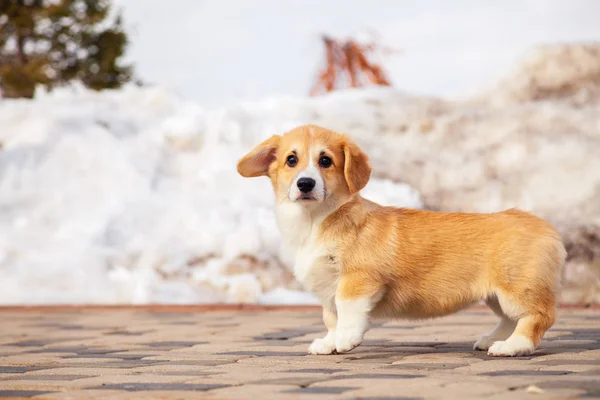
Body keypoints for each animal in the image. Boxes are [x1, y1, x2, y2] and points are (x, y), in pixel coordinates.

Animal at [237, 124, 564, 356]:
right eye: (291, 160)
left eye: (325, 161)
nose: (305, 183)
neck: (315, 220)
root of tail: (545, 227)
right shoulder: (328, 288)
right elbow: (331, 317)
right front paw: (328, 342)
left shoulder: (357, 280)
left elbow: (347, 312)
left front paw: (345, 340)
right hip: (495, 295)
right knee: (511, 318)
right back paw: (493, 340)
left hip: (516, 287)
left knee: (539, 316)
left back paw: (512, 346)